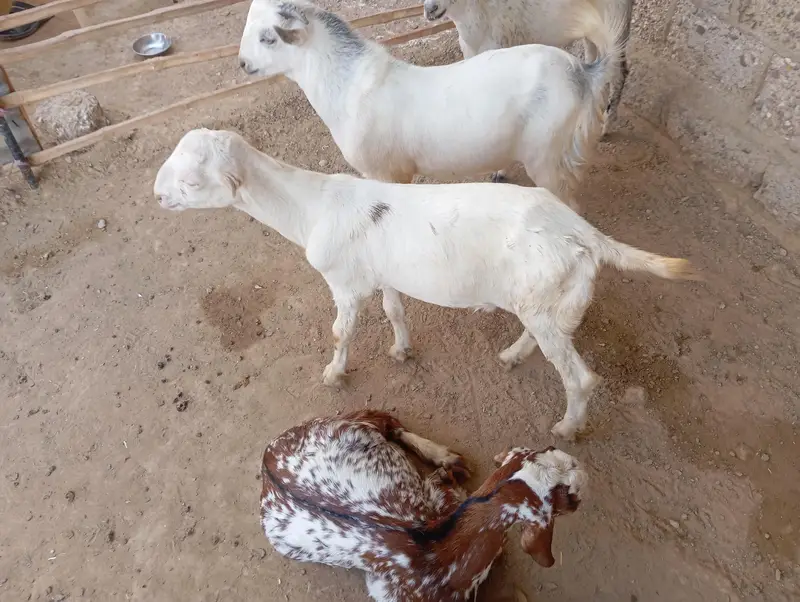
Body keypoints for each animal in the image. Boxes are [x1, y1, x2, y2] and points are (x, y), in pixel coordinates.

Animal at [154, 129, 698, 439]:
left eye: (192, 182)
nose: (157, 196)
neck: (312, 207)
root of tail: (585, 234)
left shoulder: (344, 282)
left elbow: (341, 331)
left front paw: (334, 374)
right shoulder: (383, 274)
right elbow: (394, 310)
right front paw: (401, 350)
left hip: (546, 300)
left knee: (579, 378)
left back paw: (566, 427)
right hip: (543, 299)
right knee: (541, 335)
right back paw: (513, 355)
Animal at [260, 409, 587, 601]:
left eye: (550, 448)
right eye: (569, 496)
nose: (580, 468)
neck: (440, 550)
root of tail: (266, 460)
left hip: (346, 427)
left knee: (384, 420)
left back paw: (446, 457)